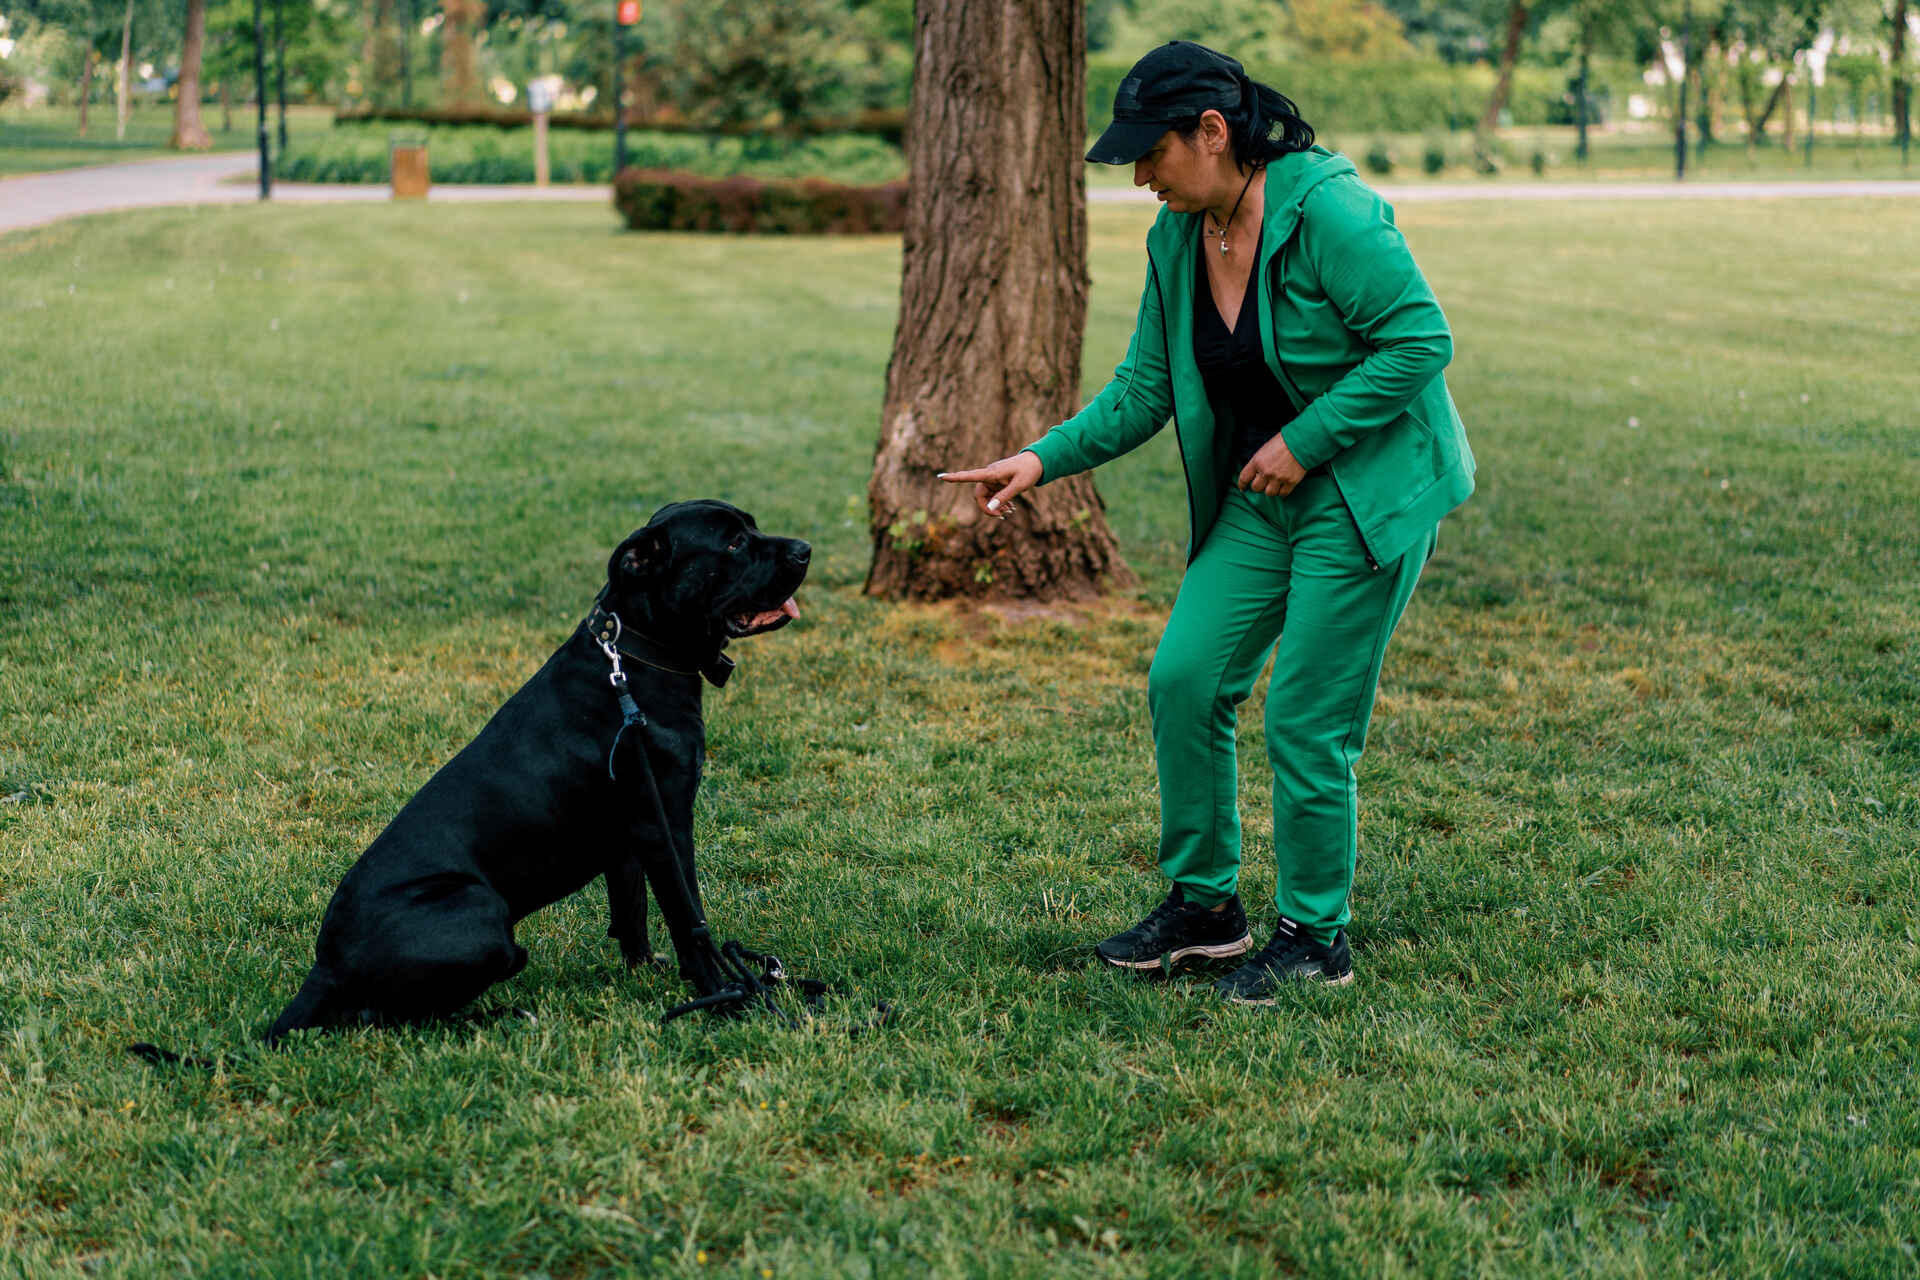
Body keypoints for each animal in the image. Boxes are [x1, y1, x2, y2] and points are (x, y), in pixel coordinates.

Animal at [133, 498, 810, 1059]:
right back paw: (505, 1016)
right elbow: (690, 919)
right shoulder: (665, 824)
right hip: (484, 914)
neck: (637, 657)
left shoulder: (629, 841)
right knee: (389, 1018)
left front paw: (645, 976)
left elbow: (633, 916)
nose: (804, 548)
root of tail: (322, 969)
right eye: (732, 544)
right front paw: (724, 998)